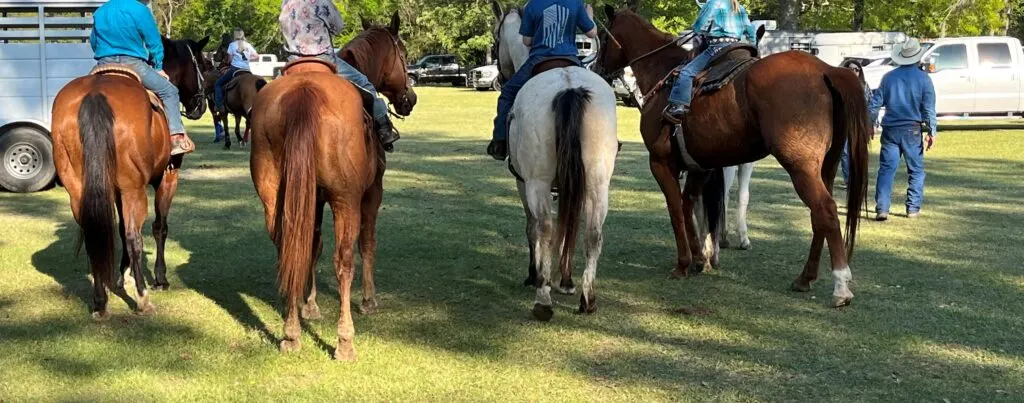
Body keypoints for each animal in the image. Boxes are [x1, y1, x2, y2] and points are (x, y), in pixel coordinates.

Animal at [52, 36, 214, 317]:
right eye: (202, 65)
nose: (200, 106)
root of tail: (95, 94)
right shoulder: (167, 178)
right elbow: (159, 227)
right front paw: (160, 278)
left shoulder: (115, 189)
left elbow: (117, 229)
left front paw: (121, 276)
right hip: (134, 188)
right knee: (133, 236)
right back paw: (143, 298)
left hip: (79, 188)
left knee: (95, 234)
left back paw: (100, 301)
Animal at [249, 12, 413, 360]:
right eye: (403, 54)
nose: (410, 99)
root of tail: (304, 91)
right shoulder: (371, 193)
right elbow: (367, 244)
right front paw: (368, 300)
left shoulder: (314, 198)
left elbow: (312, 246)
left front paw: (309, 306)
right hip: (346, 200)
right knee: (344, 260)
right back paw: (345, 341)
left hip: (274, 197)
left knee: (288, 248)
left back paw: (291, 332)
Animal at [491, 3, 618, 319]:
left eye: (496, 39)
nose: (500, 77)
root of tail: (569, 89)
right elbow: (568, 225)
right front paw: (566, 280)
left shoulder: (523, 182)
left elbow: (533, 227)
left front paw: (536, 275)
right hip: (598, 182)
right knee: (593, 232)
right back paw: (588, 298)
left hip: (537, 181)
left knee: (545, 228)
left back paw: (543, 300)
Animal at [598, 7, 868, 306]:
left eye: (603, 37)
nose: (598, 69)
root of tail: (825, 70)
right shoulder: (700, 167)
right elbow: (690, 205)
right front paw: (699, 258)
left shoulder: (660, 163)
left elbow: (676, 209)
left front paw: (683, 264)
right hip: (826, 166)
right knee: (818, 217)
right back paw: (805, 278)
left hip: (801, 168)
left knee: (826, 211)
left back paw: (841, 285)